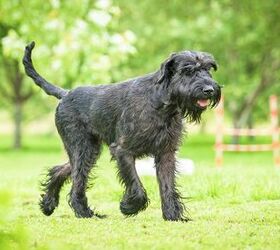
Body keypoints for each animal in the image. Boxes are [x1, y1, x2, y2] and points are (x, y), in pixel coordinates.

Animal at [22, 42, 221, 222]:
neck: (161, 103)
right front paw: (128, 207)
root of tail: (65, 93)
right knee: (77, 182)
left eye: (208, 69)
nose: (209, 89)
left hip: (89, 151)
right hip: (82, 148)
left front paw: (173, 215)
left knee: (61, 170)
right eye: (188, 70)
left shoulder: (166, 153)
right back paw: (84, 213)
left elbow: (167, 186)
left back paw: (48, 204)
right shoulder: (123, 150)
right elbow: (136, 185)